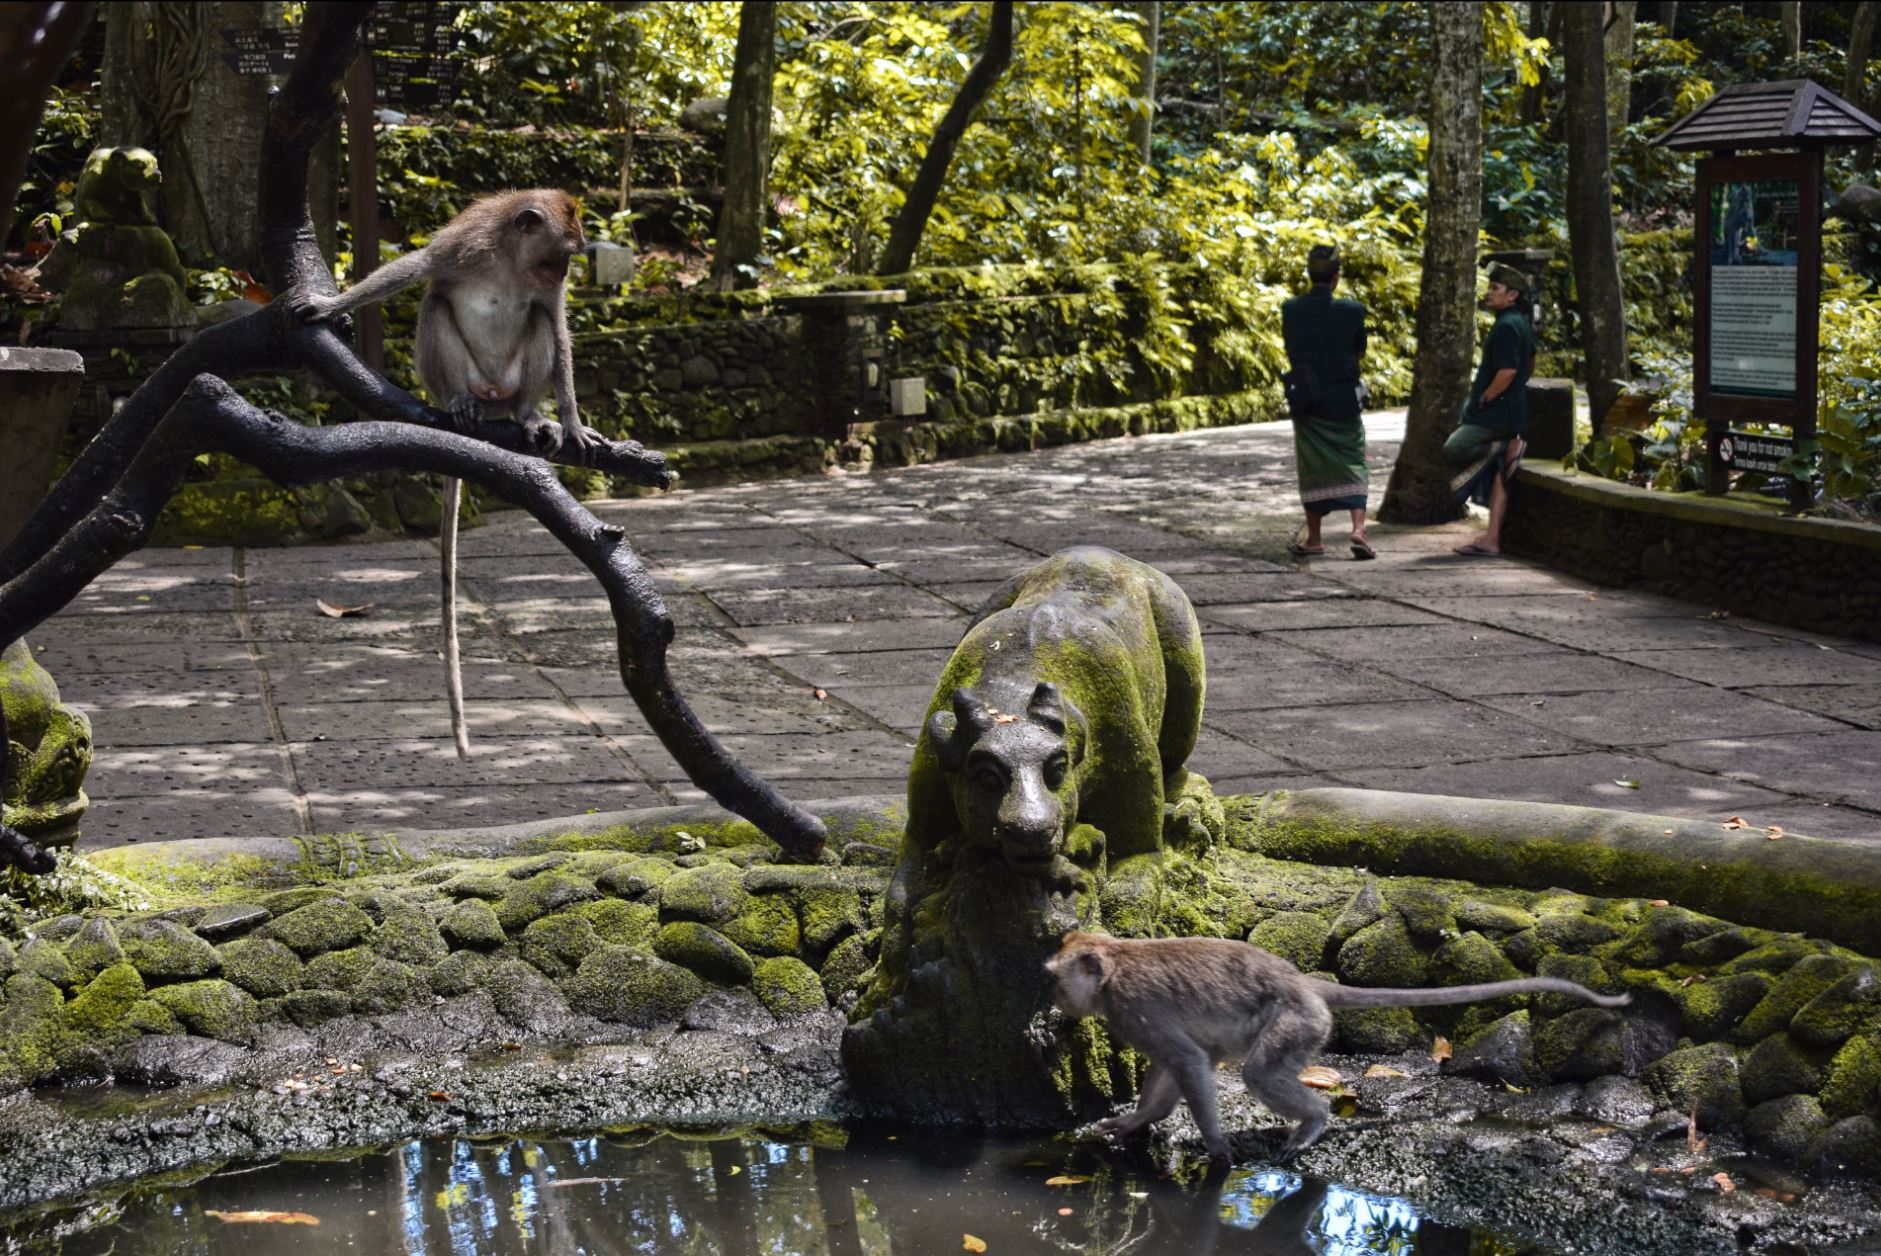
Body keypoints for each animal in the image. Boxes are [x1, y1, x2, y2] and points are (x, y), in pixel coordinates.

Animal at [291, 189, 597, 759]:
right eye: (562, 253)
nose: (566, 273)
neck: (510, 260)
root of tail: (493, 397)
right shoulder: (463, 246)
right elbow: (415, 269)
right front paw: (329, 306)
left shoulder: (544, 290)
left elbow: (557, 325)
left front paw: (571, 419)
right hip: (453, 376)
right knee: (433, 307)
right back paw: (458, 404)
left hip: (511, 384)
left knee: (539, 326)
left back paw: (530, 416)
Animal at [1045, 930, 1631, 1167]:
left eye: (1054, 978)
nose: (1054, 999)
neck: (1113, 968)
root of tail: (1304, 984)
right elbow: (1184, 1065)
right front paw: (1133, 1122)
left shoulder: (1132, 1009)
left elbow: (1188, 1063)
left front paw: (1217, 1150)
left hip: (1298, 1022)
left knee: (1261, 1074)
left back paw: (1315, 1122)